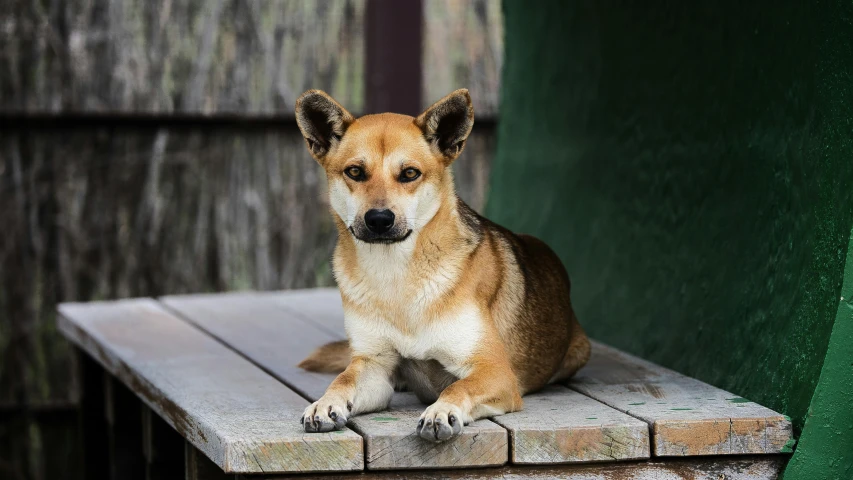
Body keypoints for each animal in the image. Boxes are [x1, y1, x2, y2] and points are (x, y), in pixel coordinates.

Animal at [292, 89, 584, 442]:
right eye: (355, 172)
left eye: (409, 173)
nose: (379, 220)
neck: (396, 275)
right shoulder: (373, 365)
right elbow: (343, 379)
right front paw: (324, 403)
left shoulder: (494, 371)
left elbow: (458, 388)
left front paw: (442, 410)